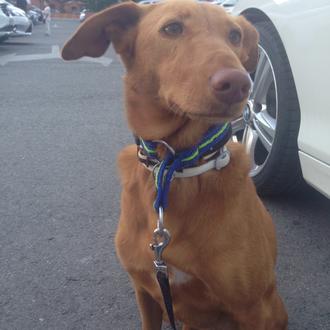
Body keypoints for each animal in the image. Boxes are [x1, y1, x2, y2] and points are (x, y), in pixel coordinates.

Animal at [61, 1, 286, 328]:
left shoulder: (253, 307)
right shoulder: (145, 288)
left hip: (274, 307)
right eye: (172, 28)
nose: (238, 84)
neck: (175, 166)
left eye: (235, 35)